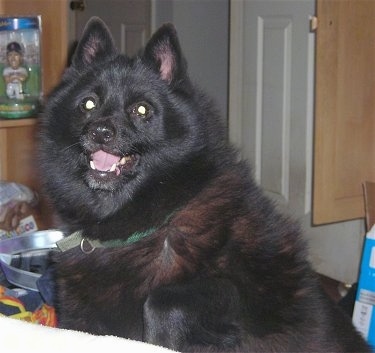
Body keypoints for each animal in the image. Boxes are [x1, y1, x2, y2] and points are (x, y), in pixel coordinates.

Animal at [38, 17, 370, 352]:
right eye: (88, 104)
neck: (153, 221)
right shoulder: (80, 321)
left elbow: (163, 302)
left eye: (142, 109)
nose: (101, 132)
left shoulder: (241, 299)